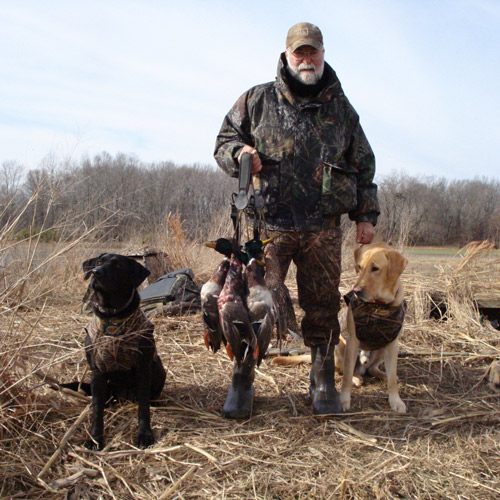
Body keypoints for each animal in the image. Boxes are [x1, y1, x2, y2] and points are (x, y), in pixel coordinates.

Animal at [81, 252, 166, 452]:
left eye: (117, 266)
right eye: (98, 262)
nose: (95, 273)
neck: (113, 317)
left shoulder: (143, 368)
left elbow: (143, 408)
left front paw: (144, 435)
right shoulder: (97, 371)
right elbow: (97, 410)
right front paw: (95, 439)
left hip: (159, 369)